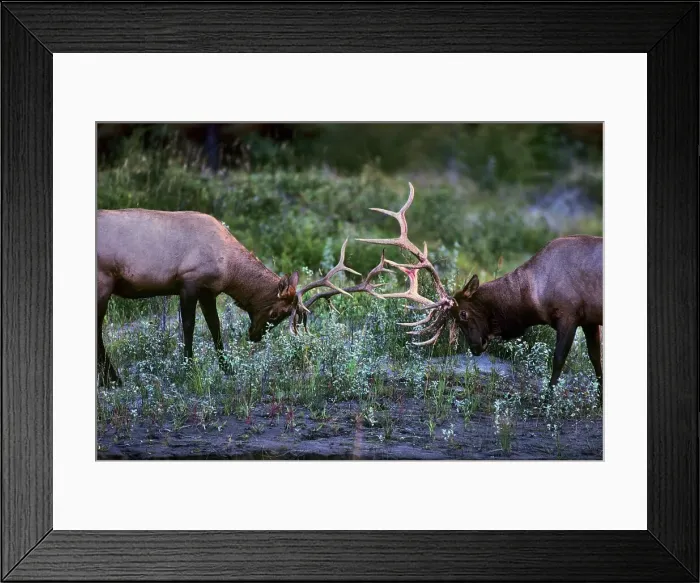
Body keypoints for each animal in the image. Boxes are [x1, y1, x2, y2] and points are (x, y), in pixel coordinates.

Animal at [97, 208, 391, 386]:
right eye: (277, 312)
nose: (255, 336)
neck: (229, 270)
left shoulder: (208, 291)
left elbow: (215, 328)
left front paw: (228, 369)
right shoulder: (189, 282)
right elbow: (189, 327)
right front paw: (189, 368)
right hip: (103, 281)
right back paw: (113, 380)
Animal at [357, 182, 603, 404]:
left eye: (463, 314)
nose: (475, 348)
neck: (534, 297)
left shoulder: (568, 315)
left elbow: (559, 358)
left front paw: (547, 399)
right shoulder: (590, 320)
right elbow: (596, 360)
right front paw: (600, 400)